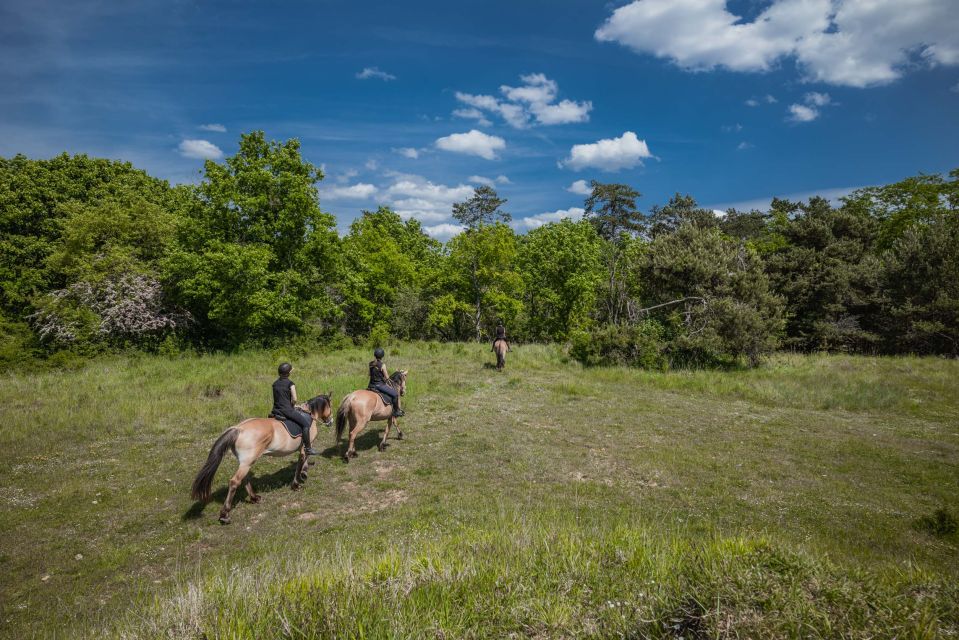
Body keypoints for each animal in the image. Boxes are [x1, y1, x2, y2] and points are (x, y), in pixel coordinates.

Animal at [190, 394, 333, 524]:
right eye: (330, 406)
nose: (330, 421)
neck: (309, 415)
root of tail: (238, 429)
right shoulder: (306, 446)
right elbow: (302, 461)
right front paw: (297, 483)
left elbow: (303, 462)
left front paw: (304, 474)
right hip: (247, 462)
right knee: (234, 481)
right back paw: (225, 515)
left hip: (246, 462)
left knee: (245, 478)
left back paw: (254, 498)